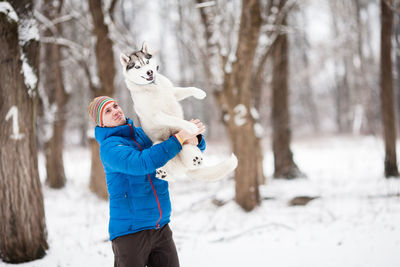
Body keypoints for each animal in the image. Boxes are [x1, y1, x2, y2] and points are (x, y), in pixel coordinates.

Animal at [119, 43, 238, 182]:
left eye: (147, 62)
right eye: (137, 66)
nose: (150, 72)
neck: (153, 86)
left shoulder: (172, 93)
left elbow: (186, 89)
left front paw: (199, 93)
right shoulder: (156, 115)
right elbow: (174, 119)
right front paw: (190, 126)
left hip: (188, 146)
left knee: (192, 156)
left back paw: (195, 160)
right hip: (158, 145)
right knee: (170, 175)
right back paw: (163, 173)